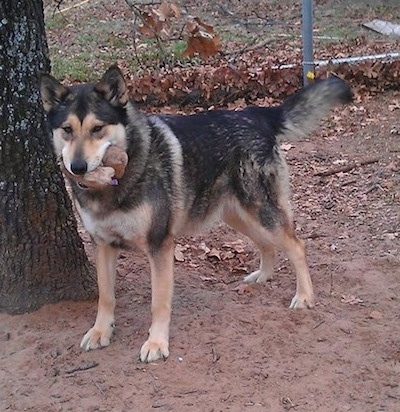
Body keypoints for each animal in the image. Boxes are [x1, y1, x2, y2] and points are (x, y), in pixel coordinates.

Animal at [40, 66, 352, 362]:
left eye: (97, 129)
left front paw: (157, 344)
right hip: (238, 215)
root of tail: (255, 114)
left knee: (297, 245)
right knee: (268, 246)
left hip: (261, 212)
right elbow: (105, 297)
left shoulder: (159, 246)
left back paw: (304, 296)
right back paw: (262, 276)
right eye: (67, 129)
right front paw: (100, 332)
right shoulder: (103, 245)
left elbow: (159, 302)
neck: (118, 180)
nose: (77, 166)